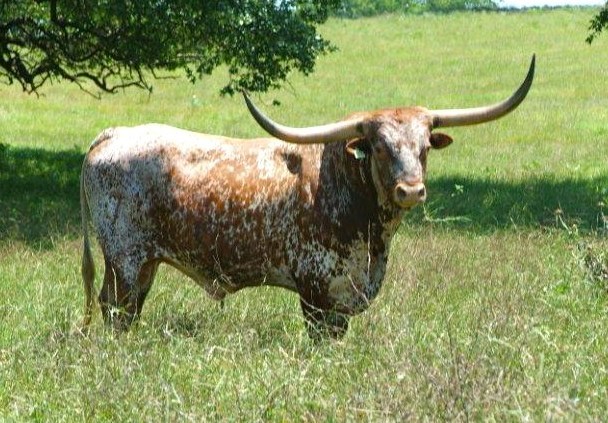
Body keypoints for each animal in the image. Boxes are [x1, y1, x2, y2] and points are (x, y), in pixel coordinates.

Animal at [80, 56, 535, 339]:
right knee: (115, 309)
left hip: (143, 264)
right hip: (126, 260)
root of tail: (115, 133)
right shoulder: (316, 290)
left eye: (424, 147)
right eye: (380, 147)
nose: (411, 189)